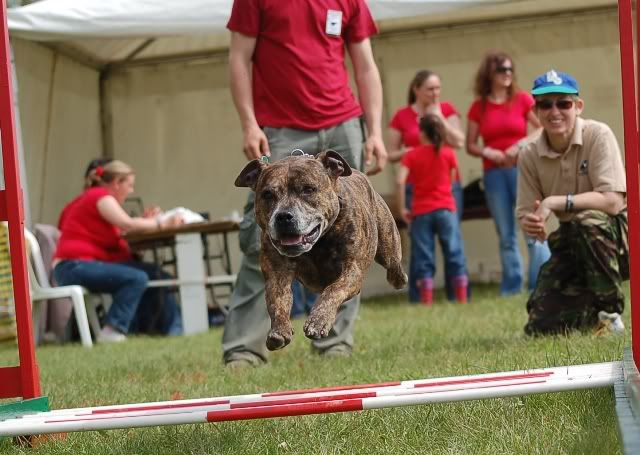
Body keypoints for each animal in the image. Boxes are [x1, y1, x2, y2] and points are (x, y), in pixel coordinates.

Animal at [235, 151, 408, 351]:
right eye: (267, 194)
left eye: (308, 189)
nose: (283, 216)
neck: (318, 243)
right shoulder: (276, 274)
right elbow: (277, 300)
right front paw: (279, 330)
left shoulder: (352, 270)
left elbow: (333, 289)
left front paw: (318, 321)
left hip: (388, 247)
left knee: (393, 264)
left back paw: (399, 278)